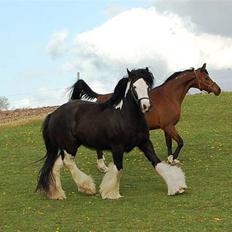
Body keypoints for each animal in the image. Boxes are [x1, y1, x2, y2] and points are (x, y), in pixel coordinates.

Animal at [37, 68, 188, 200]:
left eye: (147, 86)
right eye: (134, 87)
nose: (146, 106)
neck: (125, 117)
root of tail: (53, 114)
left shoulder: (145, 143)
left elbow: (157, 162)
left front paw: (177, 187)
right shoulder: (117, 147)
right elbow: (118, 168)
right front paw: (111, 193)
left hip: (65, 147)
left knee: (56, 165)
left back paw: (56, 193)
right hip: (70, 145)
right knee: (68, 163)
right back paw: (87, 187)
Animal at [70, 63, 221, 172]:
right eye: (206, 78)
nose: (218, 90)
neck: (168, 96)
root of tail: (99, 97)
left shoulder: (167, 127)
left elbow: (169, 143)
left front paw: (171, 159)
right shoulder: (169, 126)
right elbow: (180, 142)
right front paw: (173, 159)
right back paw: (102, 167)